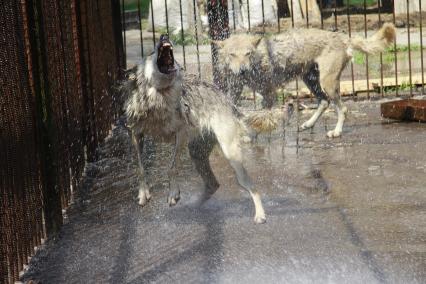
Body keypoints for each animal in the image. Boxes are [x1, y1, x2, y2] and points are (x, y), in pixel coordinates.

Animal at [121, 33, 264, 224]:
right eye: (151, 52)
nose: (164, 36)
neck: (159, 97)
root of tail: (225, 98)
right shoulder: (136, 134)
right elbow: (140, 167)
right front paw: (143, 193)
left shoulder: (180, 133)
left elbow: (172, 167)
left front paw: (173, 194)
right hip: (196, 153)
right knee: (213, 184)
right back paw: (194, 207)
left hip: (231, 155)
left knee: (252, 186)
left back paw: (260, 215)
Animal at [216, 23, 396, 137]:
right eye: (232, 54)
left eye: (248, 54)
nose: (242, 70)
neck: (258, 61)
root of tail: (343, 37)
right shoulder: (236, 91)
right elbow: (235, 111)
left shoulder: (269, 94)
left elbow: (257, 116)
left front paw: (252, 130)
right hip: (311, 81)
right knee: (324, 102)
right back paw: (308, 124)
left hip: (327, 83)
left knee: (342, 109)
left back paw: (336, 132)